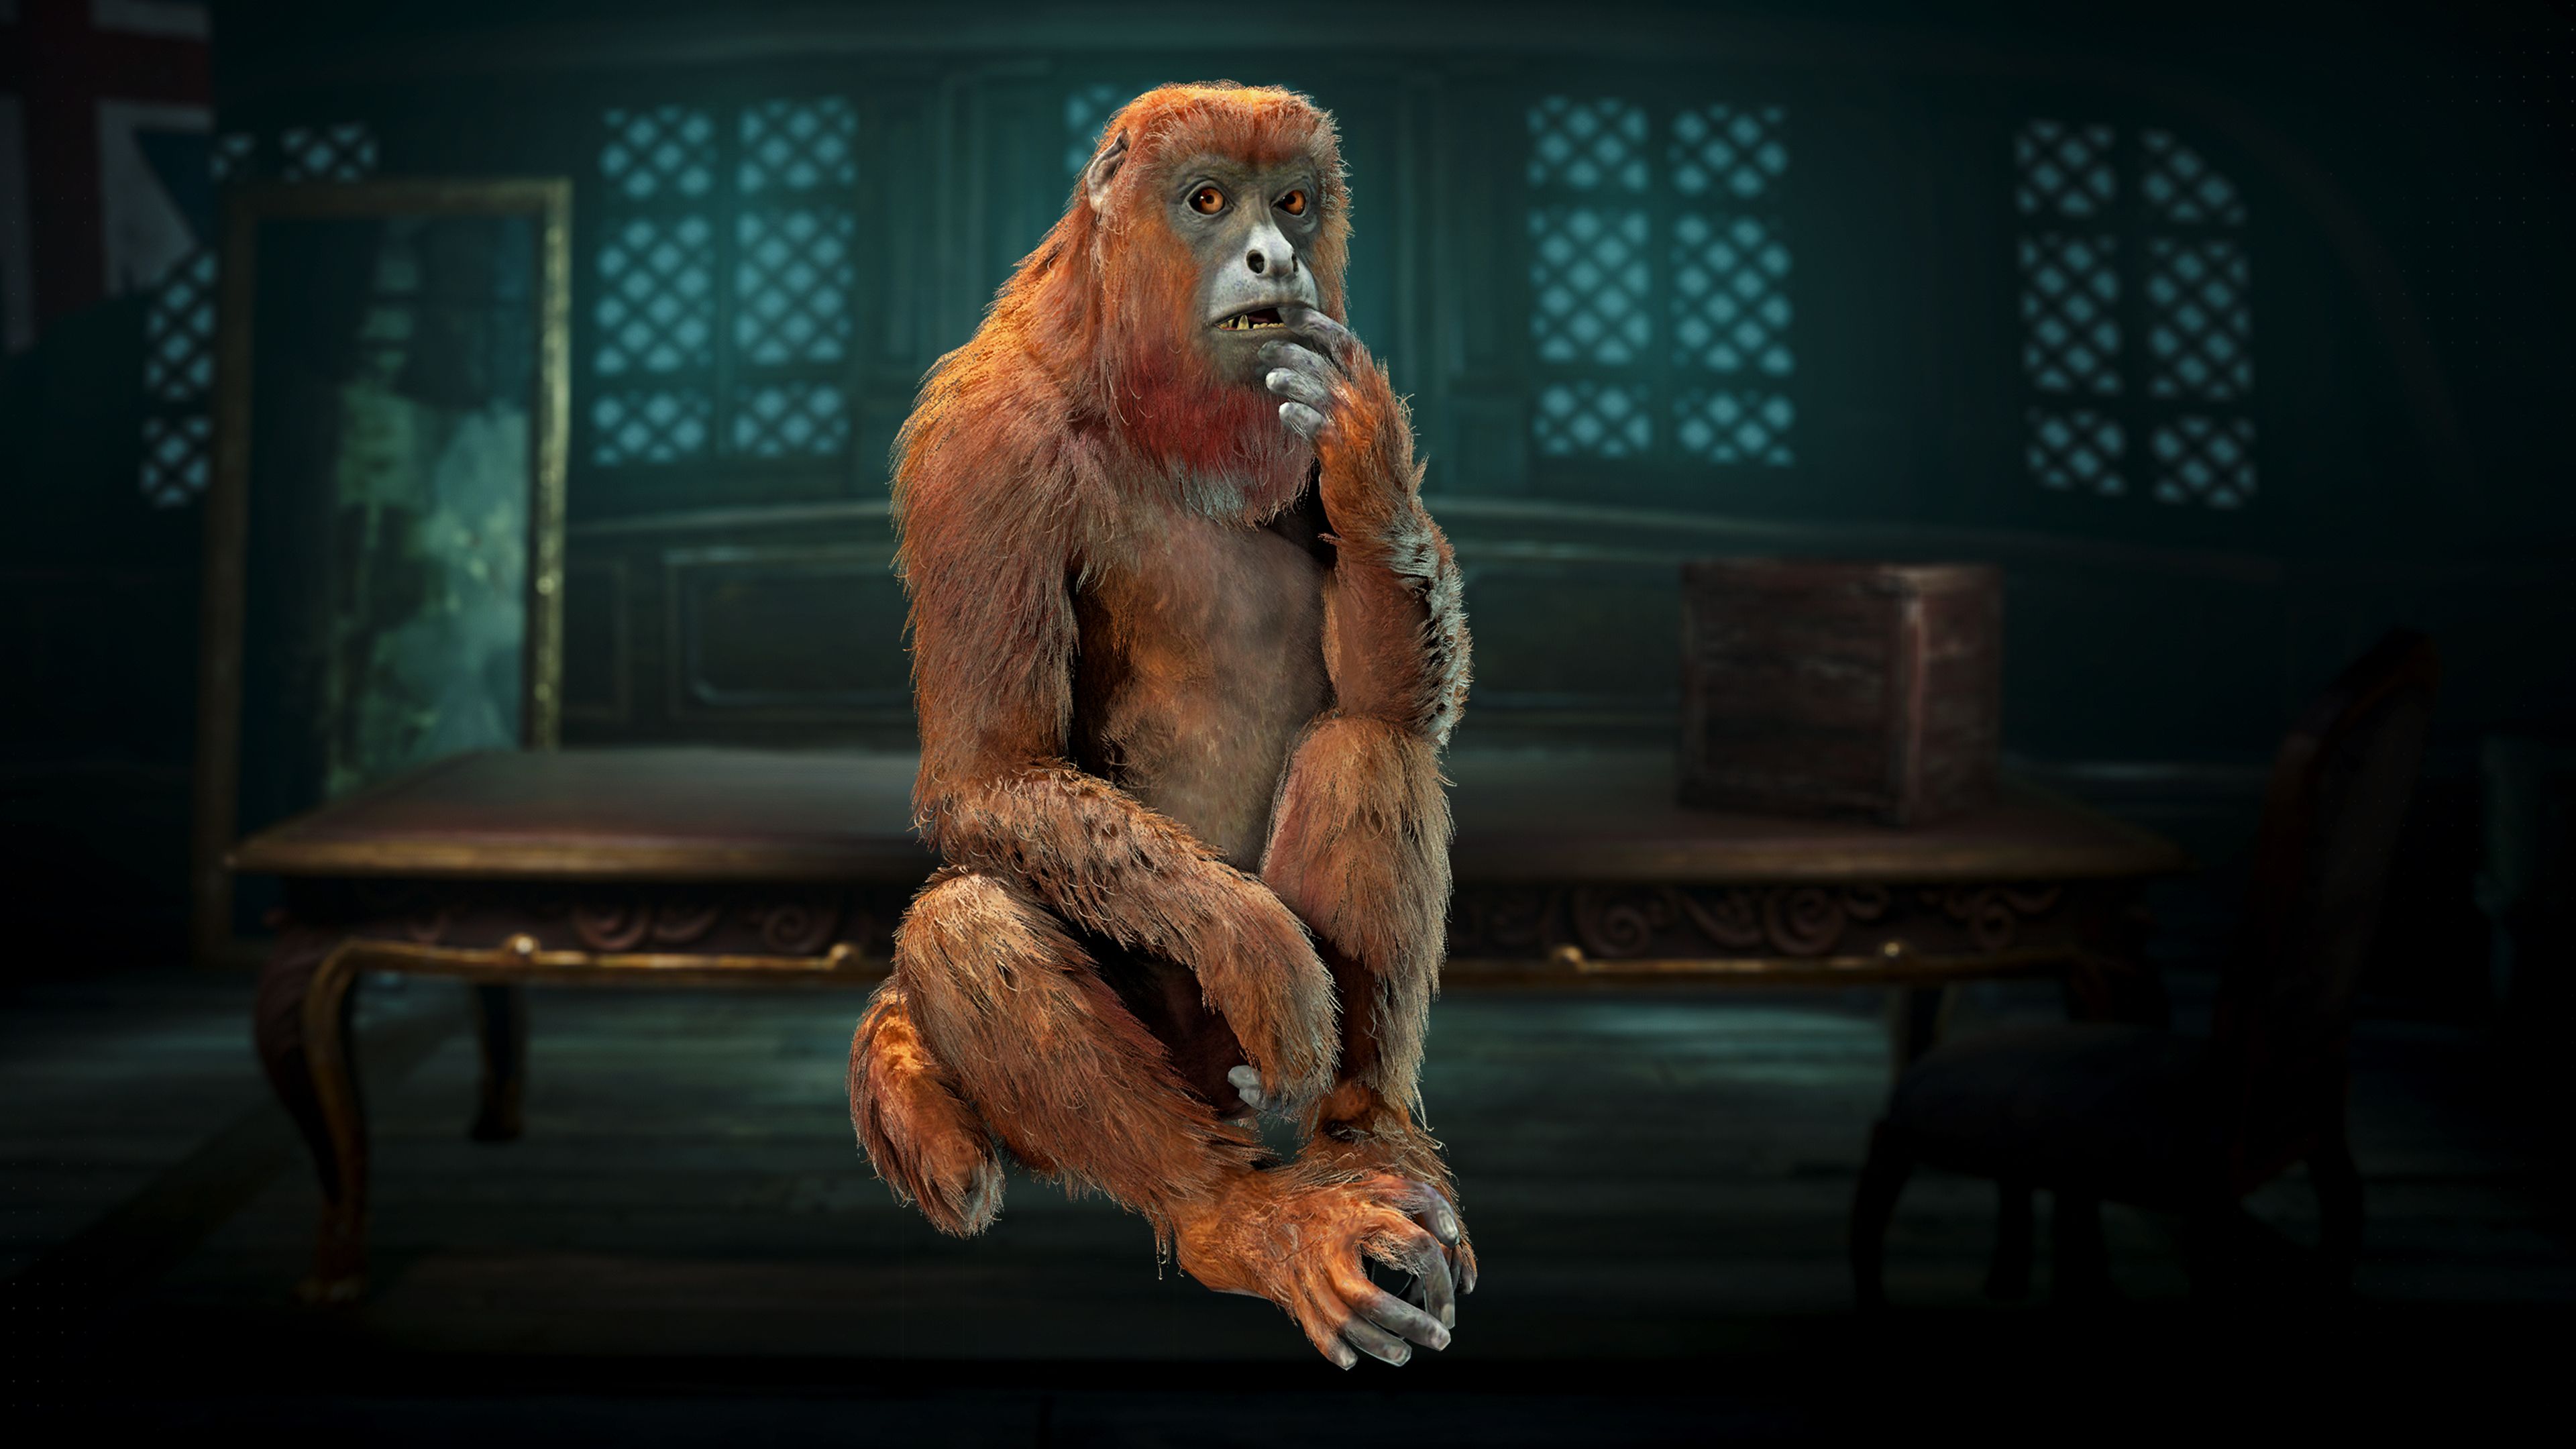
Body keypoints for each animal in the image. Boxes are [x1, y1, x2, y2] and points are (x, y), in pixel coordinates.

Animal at [847, 83, 1474, 1370]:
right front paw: (1264, 952)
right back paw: (1239, 1216)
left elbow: (1396, 694)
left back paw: (1366, 1140)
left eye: (1294, 201)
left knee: (1367, 744)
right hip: (1183, 1068)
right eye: (1208, 201)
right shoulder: (983, 449)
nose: (1274, 255)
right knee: (965, 917)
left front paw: (1369, 451)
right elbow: (990, 770)